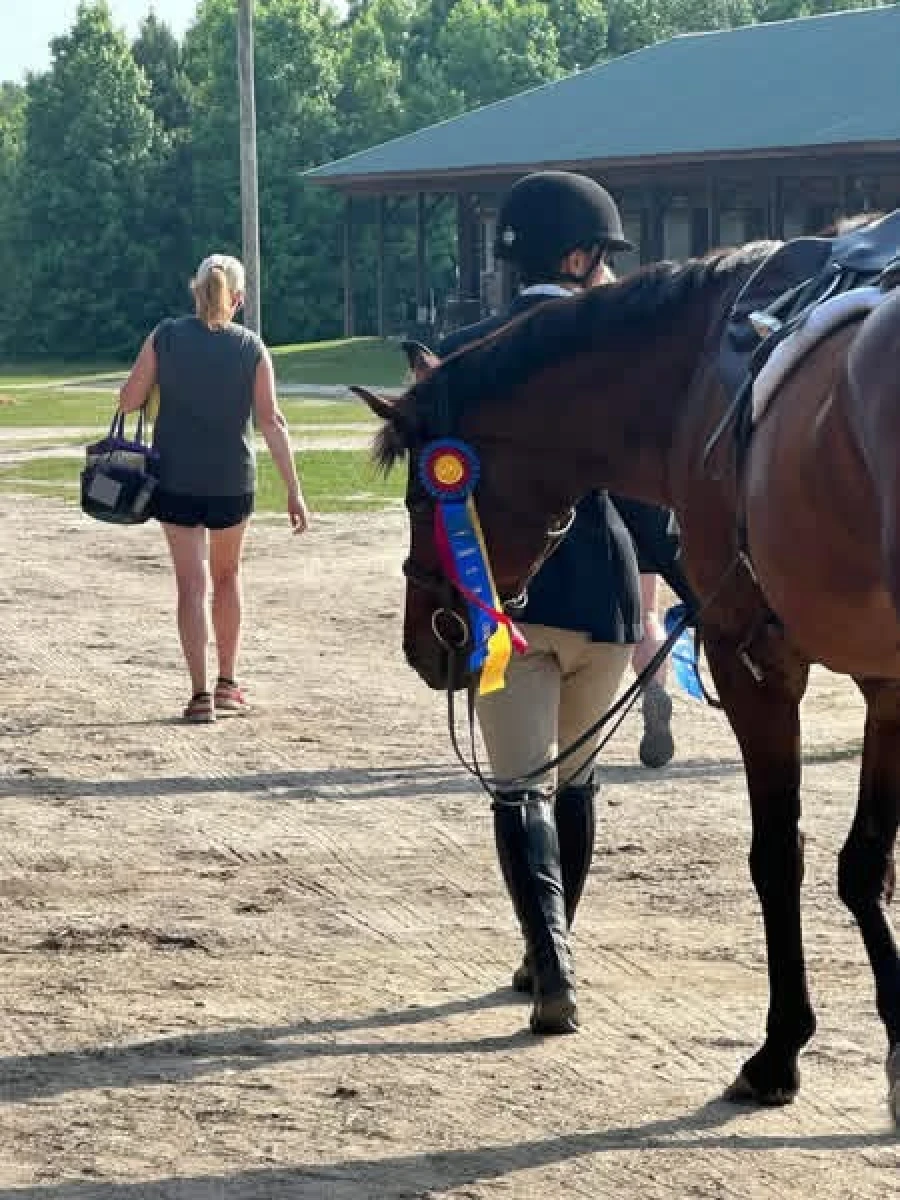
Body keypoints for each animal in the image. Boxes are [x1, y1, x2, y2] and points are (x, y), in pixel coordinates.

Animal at [354, 241, 900, 1122]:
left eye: (420, 498)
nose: (426, 644)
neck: (704, 372)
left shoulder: (753, 663)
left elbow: (778, 855)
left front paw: (778, 1053)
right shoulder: (885, 682)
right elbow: (866, 864)